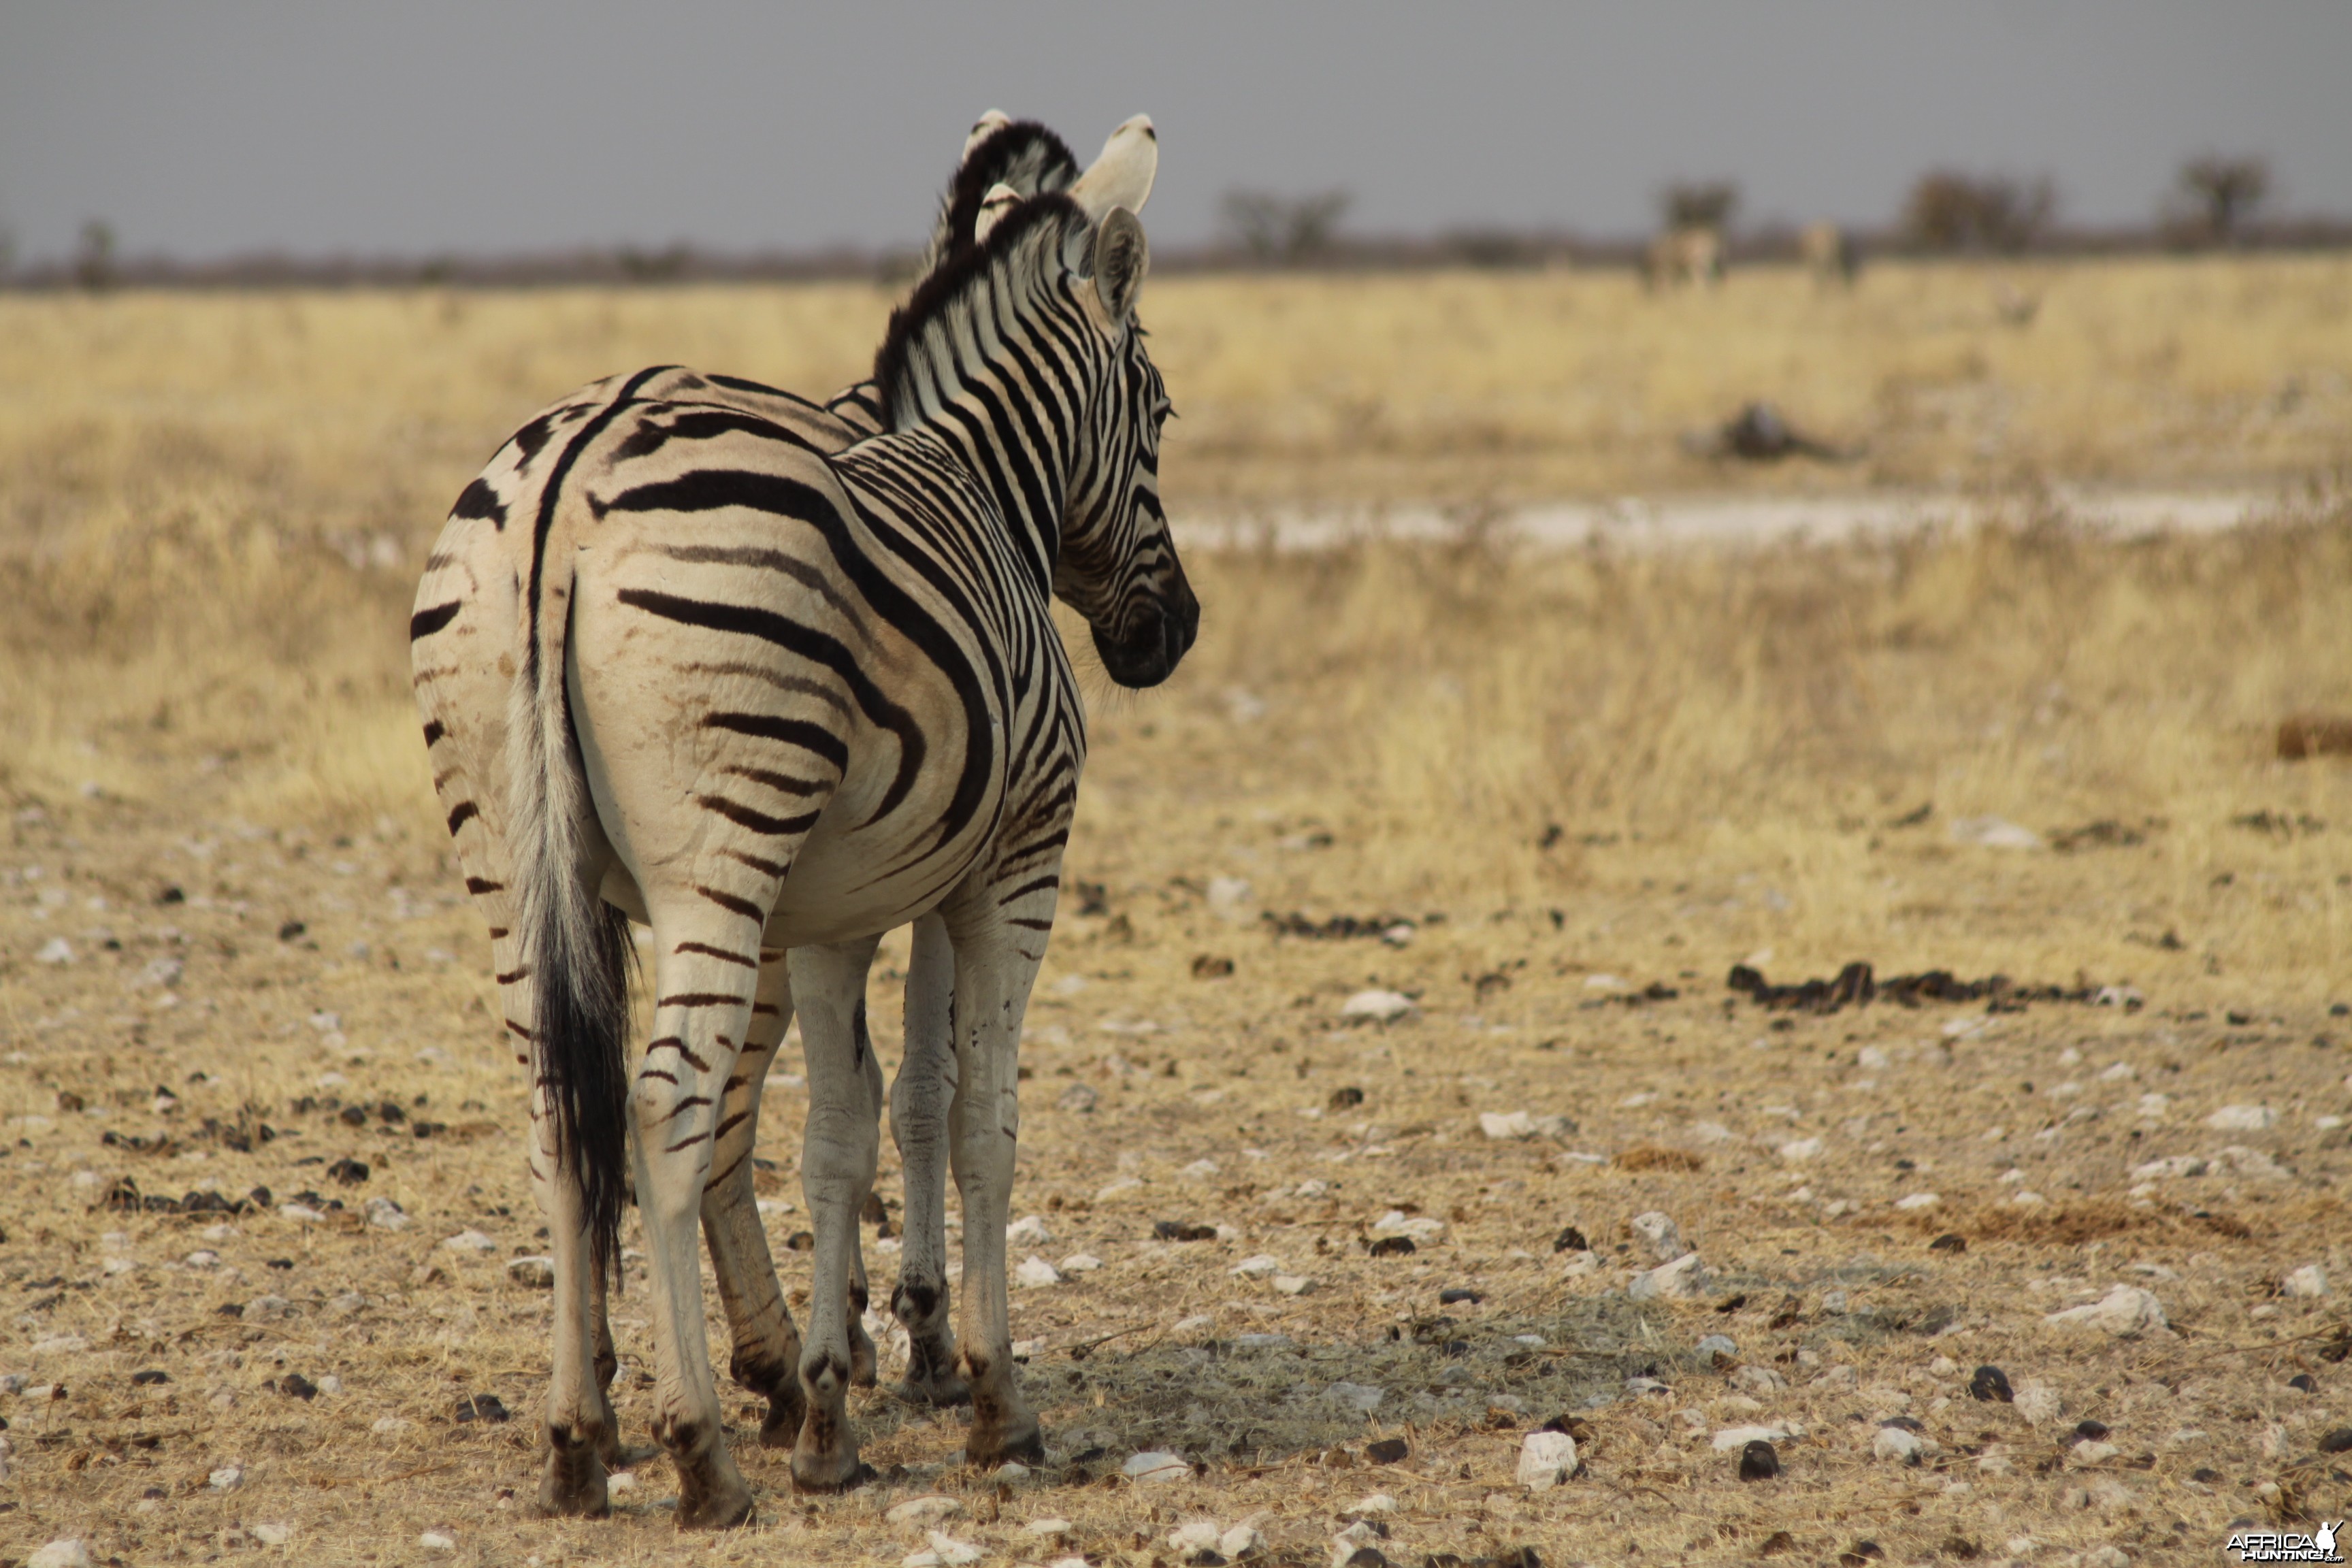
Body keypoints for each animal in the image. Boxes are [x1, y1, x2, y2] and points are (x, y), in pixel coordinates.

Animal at [414, 122, 1185, 1523]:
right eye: (1159, 414)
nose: (1173, 634)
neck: (976, 477)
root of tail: (565, 486)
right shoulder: (1005, 864)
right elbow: (966, 1108)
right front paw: (979, 1385)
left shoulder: (846, 899)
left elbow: (850, 1118)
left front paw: (844, 1385)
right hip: (723, 852)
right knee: (674, 1106)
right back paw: (705, 1446)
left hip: (509, 854)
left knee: (569, 1109)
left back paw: (585, 1431)